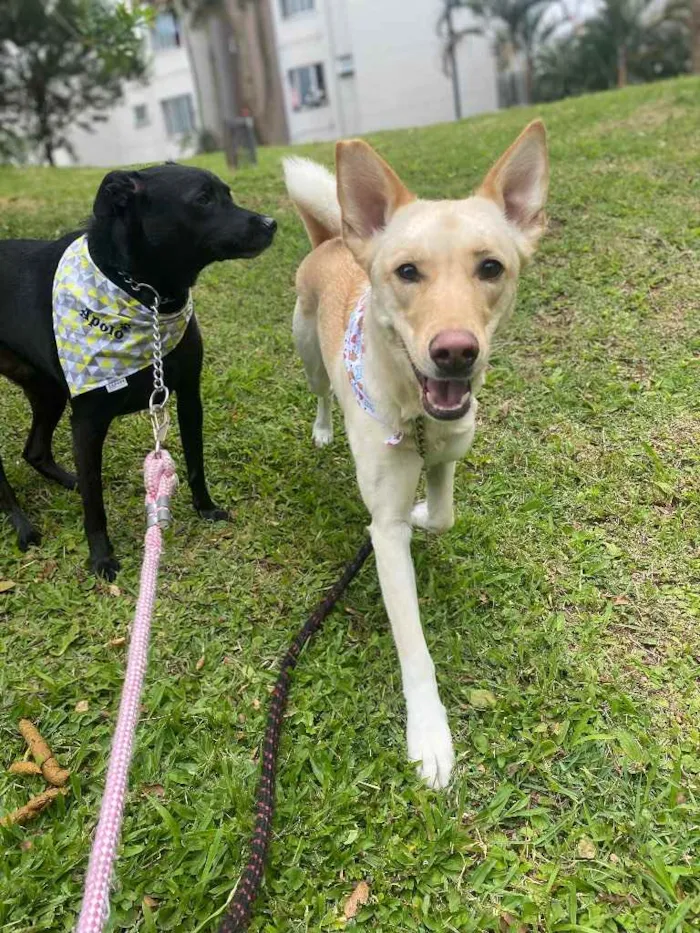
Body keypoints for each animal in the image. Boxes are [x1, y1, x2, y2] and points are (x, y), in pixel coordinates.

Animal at [0, 164, 278, 580]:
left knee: (35, 450)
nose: (271, 223)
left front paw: (206, 508)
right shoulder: (87, 422)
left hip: (47, 390)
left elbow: (194, 463)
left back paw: (68, 481)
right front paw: (101, 557)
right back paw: (22, 525)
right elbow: (94, 505)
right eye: (203, 199)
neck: (146, 297)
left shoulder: (189, 396)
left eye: (227, 193)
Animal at [284, 118, 548, 788]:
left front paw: (429, 513)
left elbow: (445, 511)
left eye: (491, 267)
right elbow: (414, 647)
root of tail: (335, 238)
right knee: (319, 392)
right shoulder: (385, 533)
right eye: (407, 272)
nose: (456, 351)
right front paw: (429, 734)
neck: (414, 411)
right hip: (307, 354)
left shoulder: (448, 449)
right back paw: (323, 429)